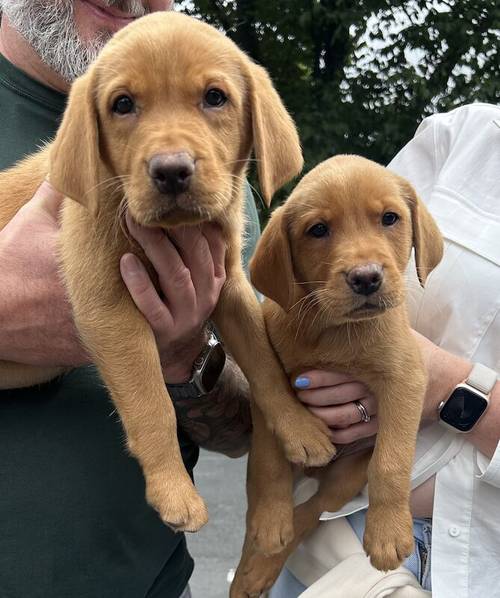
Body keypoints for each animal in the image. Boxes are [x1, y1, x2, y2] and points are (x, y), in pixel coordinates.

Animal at [0, 11, 336, 532]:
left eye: (215, 97)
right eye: (122, 105)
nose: (171, 171)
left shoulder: (229, 286)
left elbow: (265, 364)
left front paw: (298, 427)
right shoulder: (109, 304)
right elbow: (151, 403)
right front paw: (173, 491)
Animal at [230, 156, 442, 598]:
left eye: (390, 218)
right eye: (318, 230)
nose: (366, 277)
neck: (333, 329)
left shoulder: (406, 377)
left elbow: (391, 462)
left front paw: (387, 534)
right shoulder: (267, 385)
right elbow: (271, 460)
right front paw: (270, 521)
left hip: (347, 474)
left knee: (315, 510)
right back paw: (252, 563)